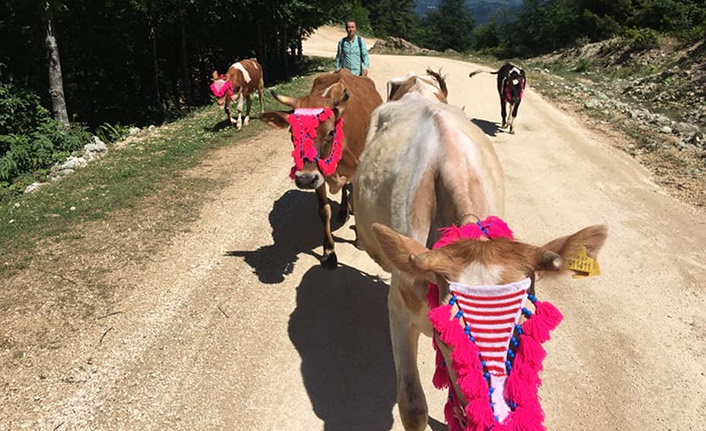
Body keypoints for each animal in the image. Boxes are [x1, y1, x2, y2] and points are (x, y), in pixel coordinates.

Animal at [258, 69, 380, 268]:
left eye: (331, 132)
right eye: (292, 132)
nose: (304, 179)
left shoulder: (355, 171)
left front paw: (360, 240)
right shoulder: (318, 178)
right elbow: (324, 211)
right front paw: (329, 252)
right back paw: (343, 211)